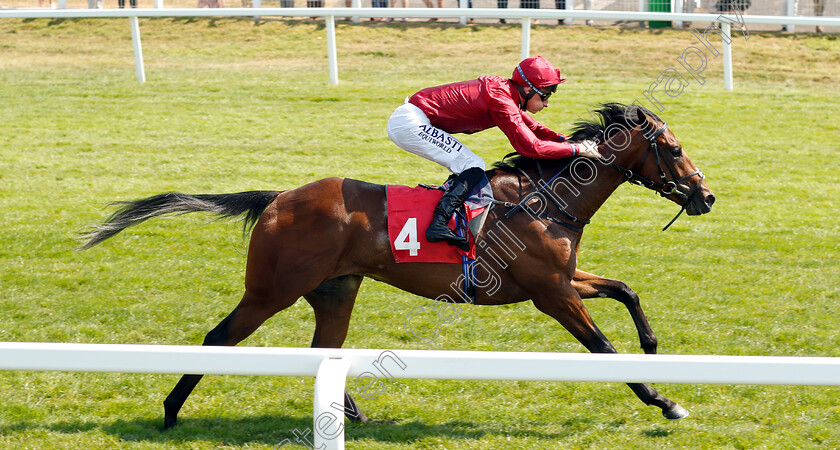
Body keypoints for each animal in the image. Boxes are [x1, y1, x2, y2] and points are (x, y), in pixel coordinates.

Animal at [82, 102, 716, 428]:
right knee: (218, 339)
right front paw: (664, 402)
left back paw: (349, 413)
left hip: (336, 289)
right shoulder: (551, 292)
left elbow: (626, 289)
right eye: (674, 150)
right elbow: (603, 348)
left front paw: (656, 350)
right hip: (270, 290)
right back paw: (169, 412)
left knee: (324, 349)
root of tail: (278, 198)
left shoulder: (563, 279)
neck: (545, 200)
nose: (706, 196)